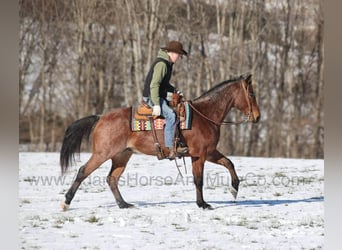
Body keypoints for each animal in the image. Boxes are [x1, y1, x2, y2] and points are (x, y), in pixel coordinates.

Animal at [60, 72, 260, 209]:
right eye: (251, 95)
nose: (257, 117)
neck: (205, 115)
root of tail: (100, 117)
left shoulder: (209, 152)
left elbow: (229, 163)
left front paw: (234, 189)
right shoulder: (200, 154)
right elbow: (199, 179)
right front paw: (202, 204)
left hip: (122, 156)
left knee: (112, 179)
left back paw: (124, 204)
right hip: (103, 153)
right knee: (83, 171)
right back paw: (66, 202)